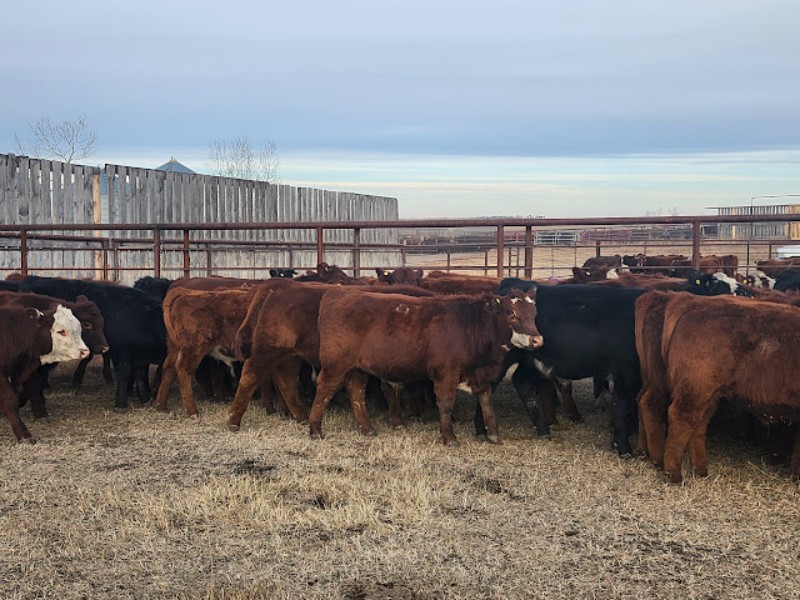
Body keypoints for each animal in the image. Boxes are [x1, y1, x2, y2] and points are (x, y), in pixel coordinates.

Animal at [0, 305, 89, 442]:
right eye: (61, 331)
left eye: (79, 329)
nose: (85, 352)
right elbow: (11, 401)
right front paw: (23, 434)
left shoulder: (31, 372)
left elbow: (33, 391)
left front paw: (41, 415)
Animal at [307, 287, 542, 445]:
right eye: (512, 314)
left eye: (534, 314)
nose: (537, 340)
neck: (471, 326)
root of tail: (338, 293)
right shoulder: (446, 374)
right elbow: (446, 404)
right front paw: (449, 437)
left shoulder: (481, 375)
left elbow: (487, 403)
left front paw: (493, 435)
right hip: (335, 365)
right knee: (324, 390)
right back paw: (315, 429)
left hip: (357, 368)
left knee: (356, 392)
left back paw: (367, 428)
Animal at [635, 292, 800, 483]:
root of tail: (691, 301)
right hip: (693, 387)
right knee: (677, 416)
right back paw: (673, 474)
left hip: (707, 392)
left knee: (696, 422)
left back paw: (699, 470)